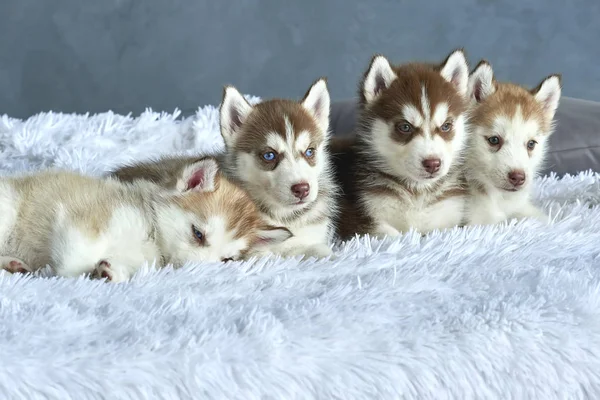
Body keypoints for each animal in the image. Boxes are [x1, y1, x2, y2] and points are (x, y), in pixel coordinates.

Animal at [0, 158, 290, 282]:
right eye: (198, 234)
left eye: (227, 260)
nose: (195, 272)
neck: (151, 233)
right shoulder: (87, 219)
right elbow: (75, 259)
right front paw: (82, 273)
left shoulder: (139, 257)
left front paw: (109, 272)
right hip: (7, 208)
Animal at [332, 48, 474, 239]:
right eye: (405, 127)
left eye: (446, 126)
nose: (433, 163)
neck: (417, 192)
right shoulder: (351, 215)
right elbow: (391, 233)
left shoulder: (449, 218)